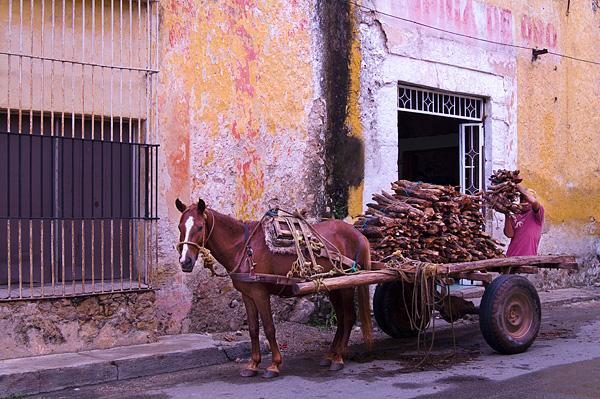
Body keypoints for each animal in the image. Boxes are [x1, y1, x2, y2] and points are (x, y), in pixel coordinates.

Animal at [175, 198, 370, 380]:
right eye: (179, 227)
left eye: (200, 227)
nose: (185, 262)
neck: (243, 246)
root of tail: (358, 234)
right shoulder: (247, 295)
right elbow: (253, 329)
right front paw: (253, 364)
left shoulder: (260, 294)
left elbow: (269, 328)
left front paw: (274, 365)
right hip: (334, 285)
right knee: (342, 317)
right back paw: (330, 355)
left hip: (348, 283)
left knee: (349, 317)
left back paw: (339, 358)